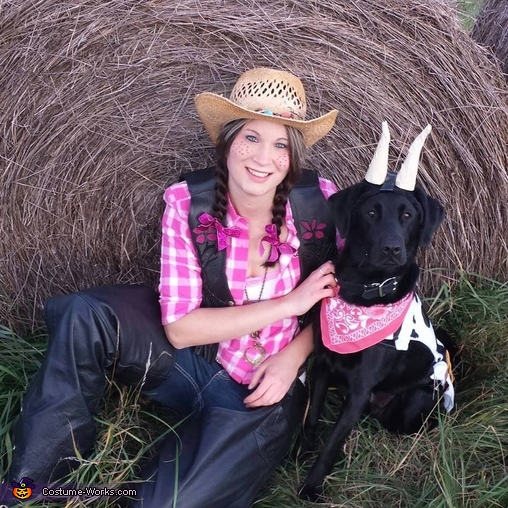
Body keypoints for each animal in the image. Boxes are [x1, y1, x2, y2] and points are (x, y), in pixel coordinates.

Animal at [300, 123, 454, 500]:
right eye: (371, 213)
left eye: (408, 216)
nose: (392, 249)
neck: (363, 292)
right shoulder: (323, 364)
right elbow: (311, 418)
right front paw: (301, 454)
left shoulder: (359, 389)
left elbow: (331, 444)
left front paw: (311, 486)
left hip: (414, 401)